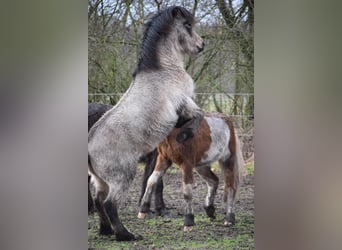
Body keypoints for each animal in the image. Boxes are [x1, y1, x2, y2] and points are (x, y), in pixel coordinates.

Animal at [89, 5, 206, 240]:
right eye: (187, 25)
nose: (201, 45)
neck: (164, 69)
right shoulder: (184, 104)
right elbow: (199, 115)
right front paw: (185, 134)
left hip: (100, 180)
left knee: (98, 201)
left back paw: (106, 231)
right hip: (122, 176)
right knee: (109, 204)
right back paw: (126, 235)